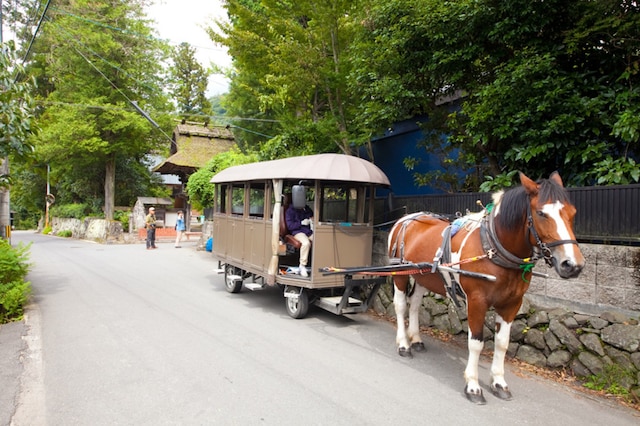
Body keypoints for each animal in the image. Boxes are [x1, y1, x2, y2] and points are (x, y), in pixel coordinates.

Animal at [388, 171, 584, 404]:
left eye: (572, 212)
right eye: (541, 213)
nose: (572, 265)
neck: (494, 248)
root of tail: (404, 219)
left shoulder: (512, 304)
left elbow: (502, 343)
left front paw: (498, 382)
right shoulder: (476, 301)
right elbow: (476, 342)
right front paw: (473, 386)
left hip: (423, 275)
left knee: (416, 304)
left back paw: (416, 339)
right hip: (399, 273)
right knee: (401, 306)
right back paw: (403, 344)